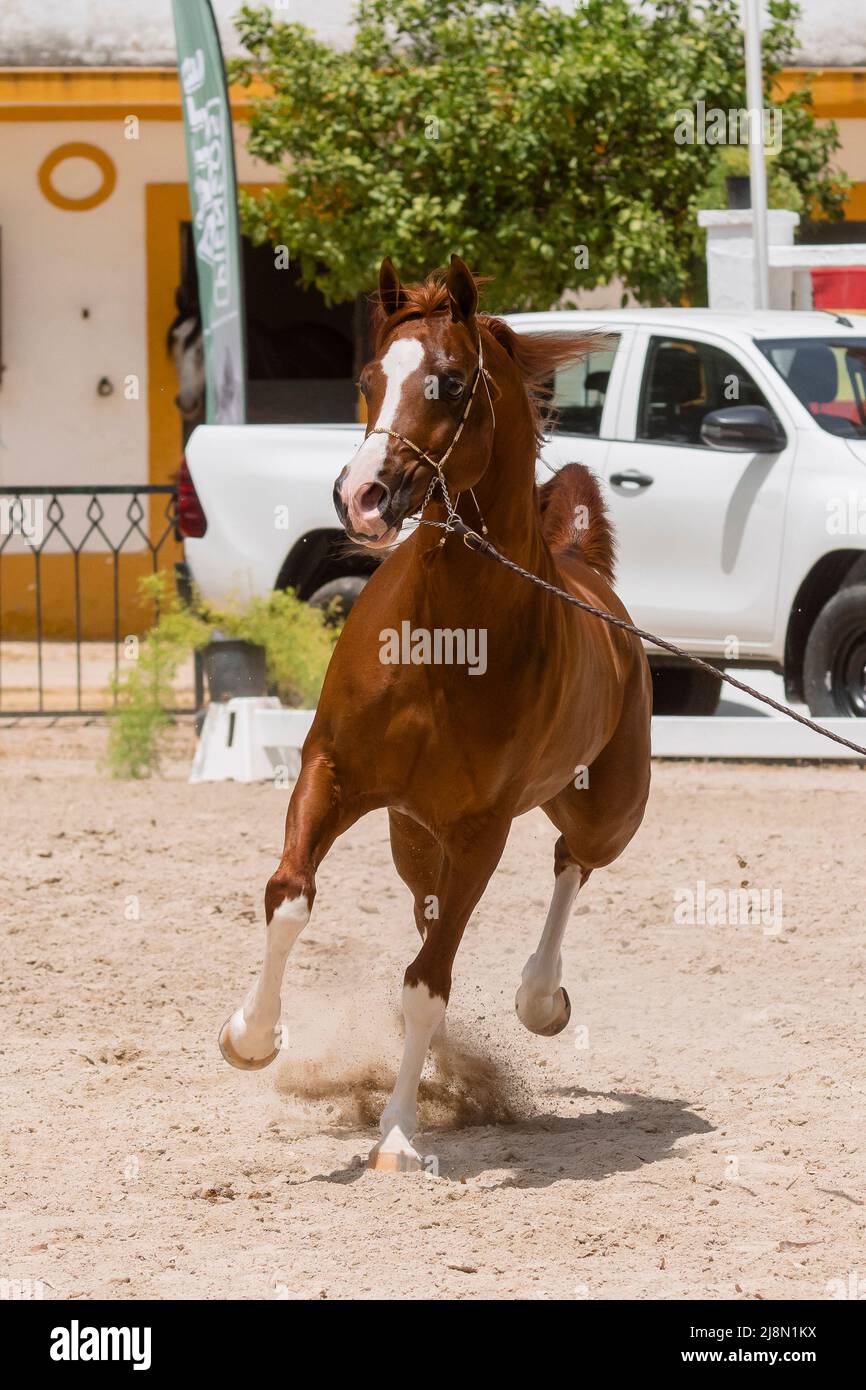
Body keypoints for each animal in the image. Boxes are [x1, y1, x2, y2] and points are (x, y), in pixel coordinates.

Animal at [216, 255, 650, 1167]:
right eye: (370, 378)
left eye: (449, 382)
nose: (361, 496)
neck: (444, 641)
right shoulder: (333, 775)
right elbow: (290, 896)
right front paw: (250, 1038)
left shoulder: (482, 831)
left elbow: (428, 981)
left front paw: (399, 1137)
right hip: (413, 838)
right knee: (432, 912)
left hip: (605, 812)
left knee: (572, 862)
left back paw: (538, 1000)